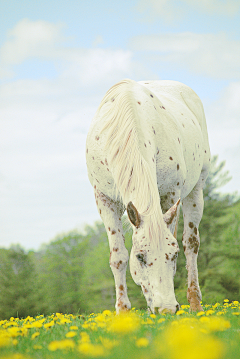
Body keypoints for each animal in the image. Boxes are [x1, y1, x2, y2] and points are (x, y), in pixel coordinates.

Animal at [86, 79, 210, 316]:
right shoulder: (104, 200)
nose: (167, 308)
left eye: (173, 255)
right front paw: (123, 311)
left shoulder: (170, 194)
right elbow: (118, 256)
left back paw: (195, 304)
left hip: (196, 189)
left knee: (191, 244)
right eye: (140, 257)